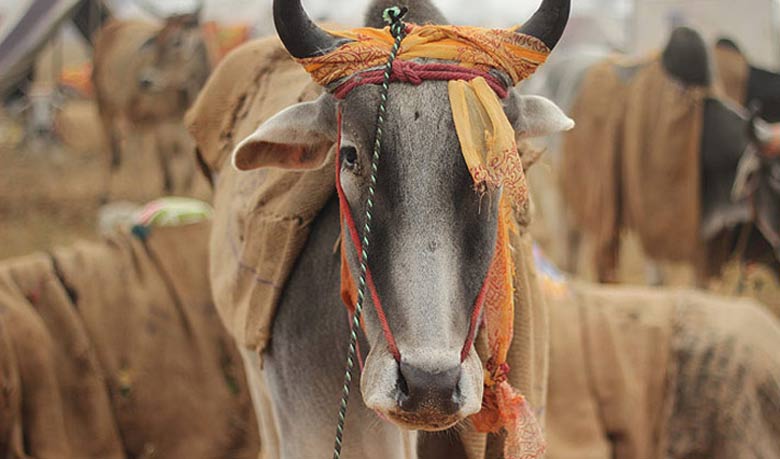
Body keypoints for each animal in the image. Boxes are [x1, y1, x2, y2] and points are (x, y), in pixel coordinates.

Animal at [92, 2, 210, 195]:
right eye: (156, 40)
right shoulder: (163, 128)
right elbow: (169, 178)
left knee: (134, 152)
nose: (144, 80)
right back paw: (105, 195)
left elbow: (187, 179)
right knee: (108, 151)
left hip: (135, 117)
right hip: (104, 106)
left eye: (176, 41)